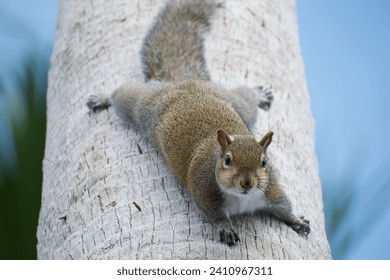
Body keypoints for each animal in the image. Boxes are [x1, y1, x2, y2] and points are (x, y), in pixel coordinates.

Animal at [87, 0, 310, 245]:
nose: (247, 183)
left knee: (246, 98)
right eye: (227, 160)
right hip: (143, 106)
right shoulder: (205, 193)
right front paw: (226, 228)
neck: (242, 198)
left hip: (239, 105)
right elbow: (214, 215)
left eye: (264, 162)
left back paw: (259, 94)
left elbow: (283, 205)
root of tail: (187, 82)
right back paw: (103, 98)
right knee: (124, 95)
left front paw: (297, 220)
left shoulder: (270, 189)